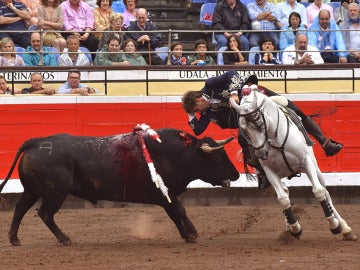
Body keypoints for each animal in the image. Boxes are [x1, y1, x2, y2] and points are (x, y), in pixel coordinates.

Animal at [1, 129, 240, 245]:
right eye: (218, 157)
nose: (237, 174)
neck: (176, 153)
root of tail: (36, 142)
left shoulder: (166, 195)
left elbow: (174, 213)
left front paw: (186, 235)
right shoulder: (166, 193)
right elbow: (180, 210)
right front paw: (193, 233)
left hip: (32, 190)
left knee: (20, 209)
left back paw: (14, 239)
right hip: (55, 193)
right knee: (45, 214)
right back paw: (64, 238)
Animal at [231, 86, 358, 240]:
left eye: (258, 122)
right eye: (243, 129)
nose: (261, 153)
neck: (276, 140)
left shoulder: (307, 162)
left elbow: (318, 191)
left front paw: (334, 225)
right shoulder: (269, 171)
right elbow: (283, 198)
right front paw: (295, 227)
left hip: (316, 169)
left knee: (325, 191)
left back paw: (345, 228)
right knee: (285, 190)